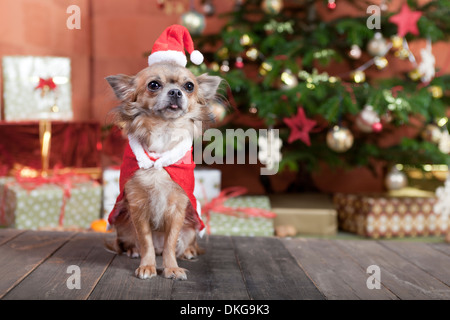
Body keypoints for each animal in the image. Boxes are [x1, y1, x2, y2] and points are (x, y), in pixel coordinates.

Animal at [106, 60, 221, 280]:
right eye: (154, 85)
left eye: (189, 86)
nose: (176, 92)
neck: (164, 133)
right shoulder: (138, 207)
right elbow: (146, 242)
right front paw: (147, 266)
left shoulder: (178, 209)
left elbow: (170, 243)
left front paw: (172, 268)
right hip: (123, 225)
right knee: (134, 243)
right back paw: (133, 251)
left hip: (191, 228)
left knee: (183, 243)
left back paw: (188, 251)